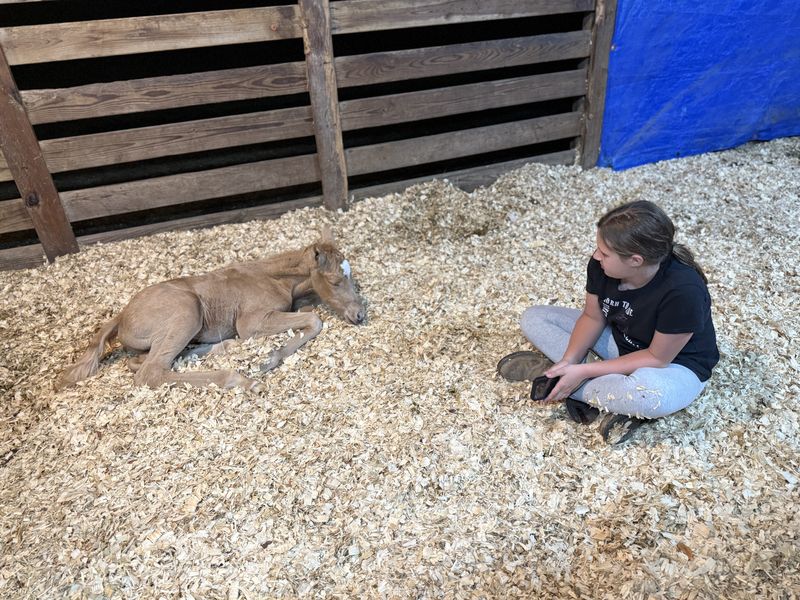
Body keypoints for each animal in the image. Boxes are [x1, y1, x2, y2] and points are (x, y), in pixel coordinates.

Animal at [57, 230, 366, 391]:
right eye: (335, 280)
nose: (360, 315)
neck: (272, 277)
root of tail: (121, 316)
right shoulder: (252, 322)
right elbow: (314, 320)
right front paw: (269, 359)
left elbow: (309, 309)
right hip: (187, 311)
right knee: (150, 372)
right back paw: (239, 378)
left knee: (144, 361)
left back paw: (224, 348)